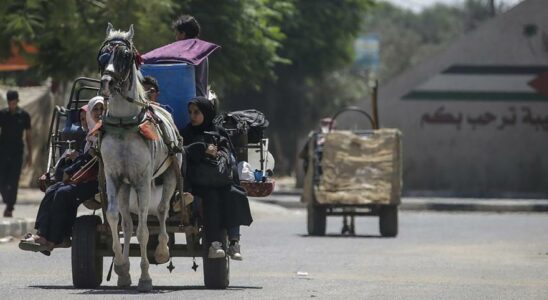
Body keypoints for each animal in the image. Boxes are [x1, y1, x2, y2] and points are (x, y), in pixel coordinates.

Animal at [98, 24, 182, 292]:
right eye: (103, 56)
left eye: (125, 57)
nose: (106, 83)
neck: (124, 124)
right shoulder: (113, 176)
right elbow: (114, 218)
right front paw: (122, 268)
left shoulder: (143, 179)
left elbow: (145, 230)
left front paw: (145, 277)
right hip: (125, 186)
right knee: (127, 223)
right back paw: (124, 270)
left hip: (170, 176)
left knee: (163, 211)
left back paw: (163, 250)